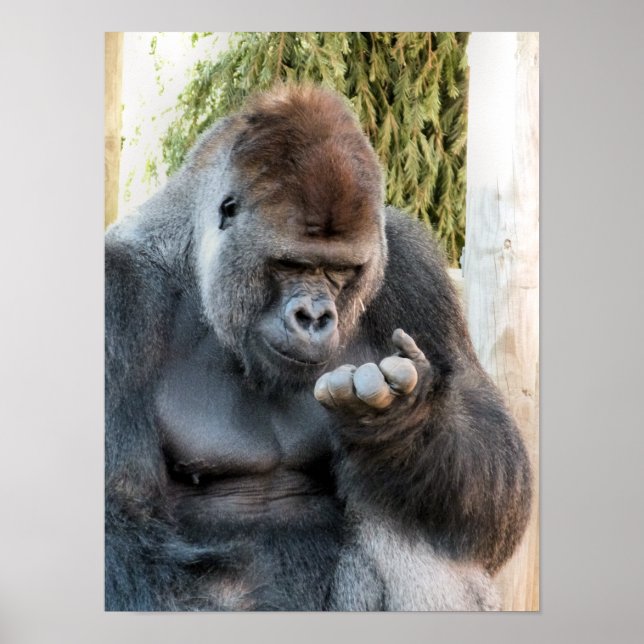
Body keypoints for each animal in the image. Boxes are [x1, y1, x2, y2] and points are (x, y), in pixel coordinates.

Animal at [105, 84, 531, 611]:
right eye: (291, 265)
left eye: (340, 271)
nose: (313, 317)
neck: (197, 266)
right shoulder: (118, 294)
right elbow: (121, 527)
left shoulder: (413, 268)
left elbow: (497, 497)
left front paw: (399, 425)